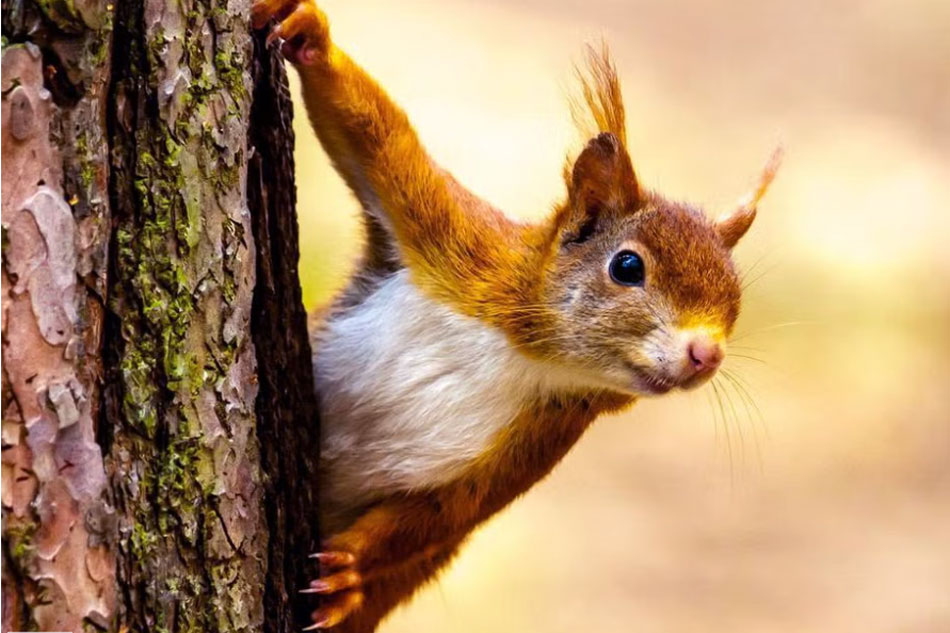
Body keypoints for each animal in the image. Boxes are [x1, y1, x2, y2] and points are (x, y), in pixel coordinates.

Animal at [251, 2, 780, 628]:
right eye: (627, 266)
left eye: (735, 301)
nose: (707, 354)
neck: (527, 353)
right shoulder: (457, 243)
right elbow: (377, 141)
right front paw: (308, 32)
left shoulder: (534, 442)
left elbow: (438, 514)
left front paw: (349, 573)